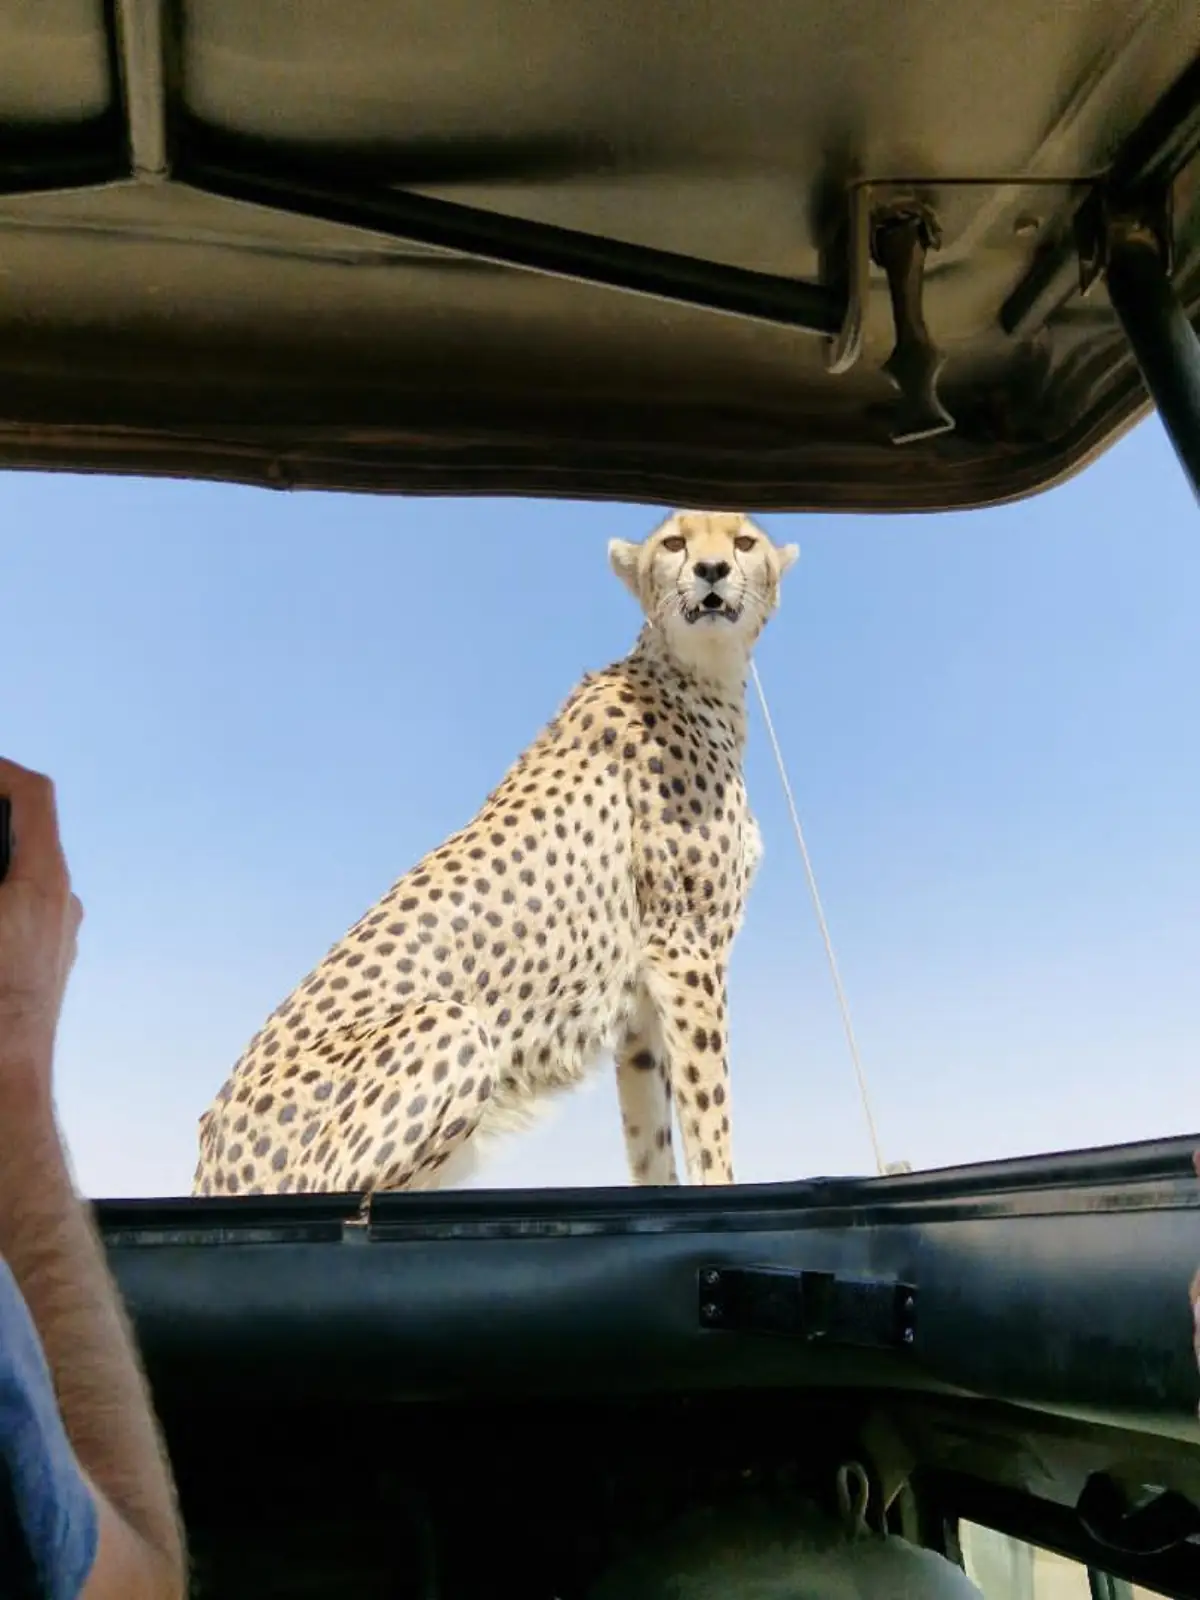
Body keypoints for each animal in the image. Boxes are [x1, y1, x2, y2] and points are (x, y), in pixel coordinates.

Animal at [191, 509, 799, 1198]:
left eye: (744, 542)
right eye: (675, 543)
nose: (712, 570)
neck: (698, 675)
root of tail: (209, 1153)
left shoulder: (642, 1001)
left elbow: (651, 1139)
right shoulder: (685, 948)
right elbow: (709, 1116)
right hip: (449, 1027)